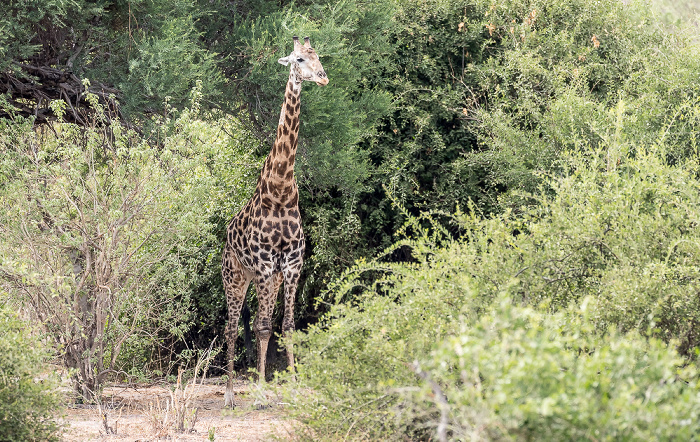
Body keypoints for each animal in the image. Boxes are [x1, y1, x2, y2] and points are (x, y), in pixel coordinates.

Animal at [221, 35, 328, 408]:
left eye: (318, 56)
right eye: (299, 59)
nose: (323, 78)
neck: (280, 191)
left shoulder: (291, 265)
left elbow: (289, 326)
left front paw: (294, 388)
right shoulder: (266, 265)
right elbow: (265, 327)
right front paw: (259, 395)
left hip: (266, 279)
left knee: (255, 322)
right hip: (236, 277)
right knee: (232, 326)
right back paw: (231, 395)